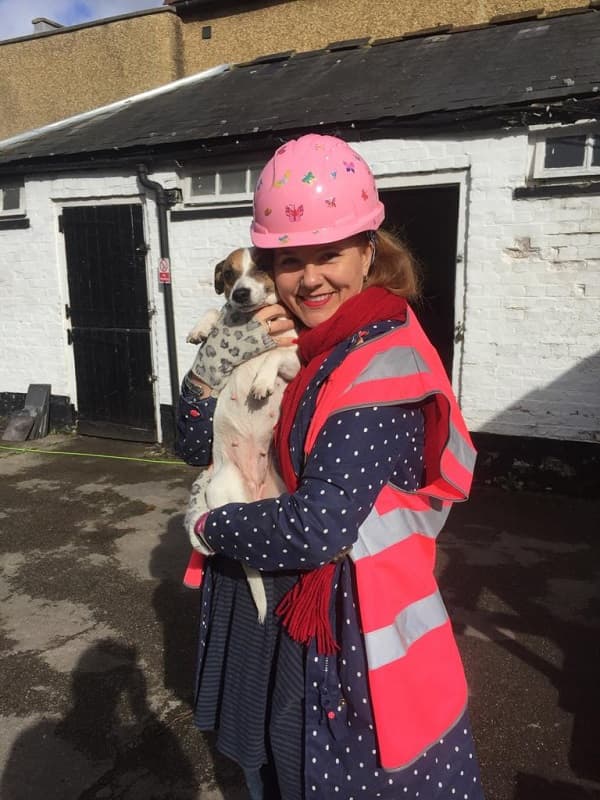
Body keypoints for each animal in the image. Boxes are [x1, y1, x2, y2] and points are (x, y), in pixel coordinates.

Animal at [184, 247, 300, 620]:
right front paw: (201, 328)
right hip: (224, 493)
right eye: (229, 274)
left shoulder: (295, 358)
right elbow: (214, 311)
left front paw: (261, 382)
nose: (240, 294)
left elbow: (275, 355)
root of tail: (252, 496)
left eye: (262, 266)